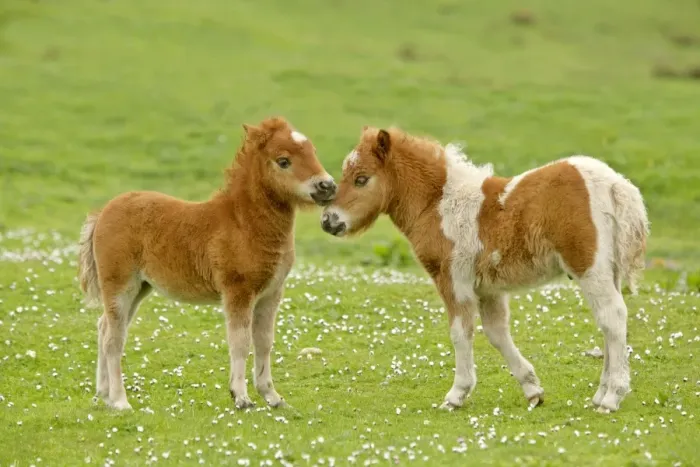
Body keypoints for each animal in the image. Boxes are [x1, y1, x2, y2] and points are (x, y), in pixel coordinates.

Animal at [78, 116, 336, 410]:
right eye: (283, 161)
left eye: (312, 151)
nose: (328, 186)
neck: (243, 224)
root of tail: (102, 213)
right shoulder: (238, 292)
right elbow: (240, 342)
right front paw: (241, 397)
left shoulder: (271, 294)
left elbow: (264, 342)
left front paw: (272, 397)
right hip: (120, 285)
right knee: (114, 338)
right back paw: (120, 401)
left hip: (139, 288)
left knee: (104, 327)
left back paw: (103, 394)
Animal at [321, 125, 648, 413]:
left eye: (362, 179)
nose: (328, 221)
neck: (439, 205)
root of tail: (615, 184)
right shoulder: (489, 288)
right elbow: (496, 333)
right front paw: (533, 390)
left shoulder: (453, 280)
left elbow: (460, 333)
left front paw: (456, 395)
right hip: (607, 271)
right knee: (608, 324)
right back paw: (601, 393)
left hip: (589, 268)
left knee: (612, 318)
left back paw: (611, 398)